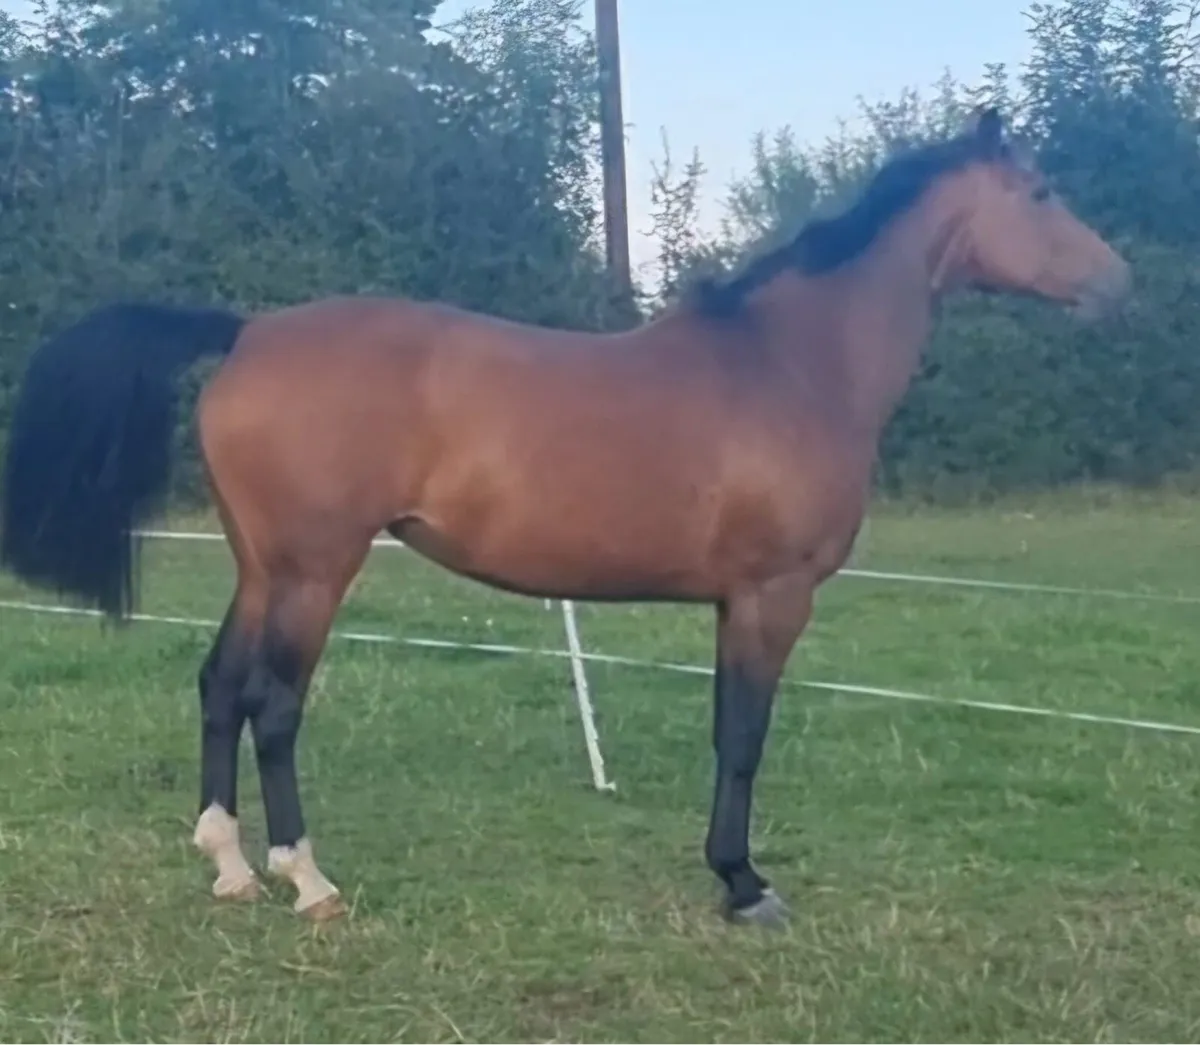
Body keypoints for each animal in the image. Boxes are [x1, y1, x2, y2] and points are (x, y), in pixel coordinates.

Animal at [0, 107, 1130, 927]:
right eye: (1039, 191)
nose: (1119, 280)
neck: (790, 364)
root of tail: (249, 332)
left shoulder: (736, 602)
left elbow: (726, 729)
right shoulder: (772, 596)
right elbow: (743, 737)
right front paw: (743, 883)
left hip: (262, 568)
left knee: (220, 687)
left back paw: (229, 864)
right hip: (317, 571)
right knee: (274, 705)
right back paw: (306, 880)